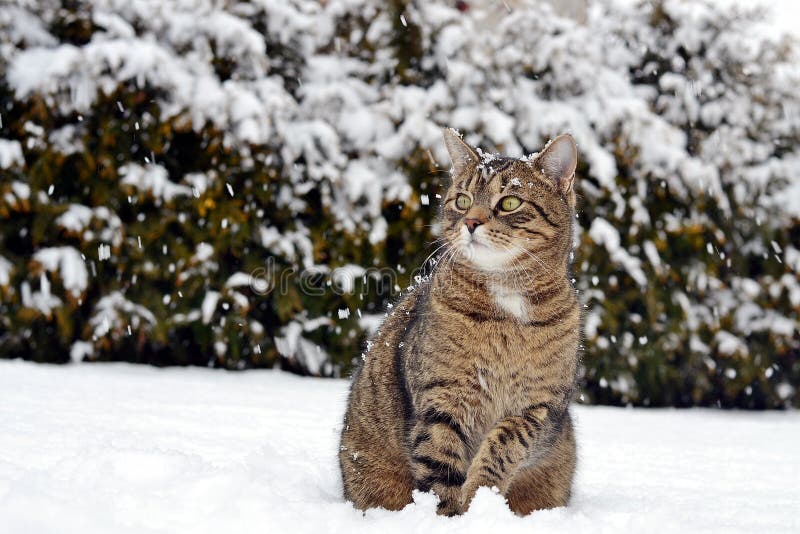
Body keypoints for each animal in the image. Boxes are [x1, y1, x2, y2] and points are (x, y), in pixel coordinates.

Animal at [338, 127, 580, 516]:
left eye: (509, 203)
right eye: (463, 201)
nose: (471, 222)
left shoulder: (539, 407)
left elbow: (504, 444)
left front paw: (481, 499)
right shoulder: (442, 398)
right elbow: (440, 465)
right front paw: (451, 515)